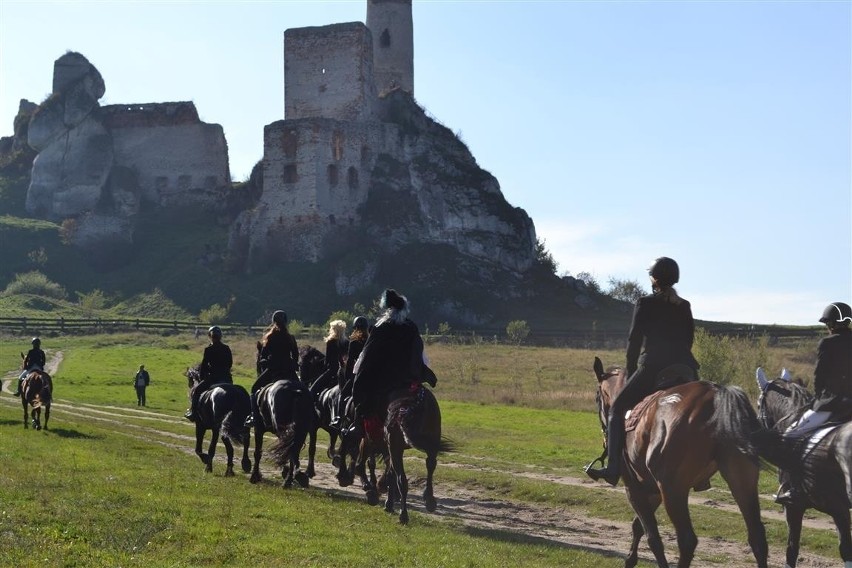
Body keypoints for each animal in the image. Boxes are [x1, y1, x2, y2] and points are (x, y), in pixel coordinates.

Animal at [384, 384, 456, 524]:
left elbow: (393, 474)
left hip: (396, 447)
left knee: (401, 478)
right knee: (429, 465)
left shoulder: (393, 447)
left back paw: (403, 512)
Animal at [588, 358, 768, 564]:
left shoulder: (634, 489)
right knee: (757, 538)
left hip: (673, 490)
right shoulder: (653, 489)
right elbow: (638, 526)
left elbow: (652, 536)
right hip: (742, 484)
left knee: (687, 540)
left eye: (597, 398)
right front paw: (630, 559)